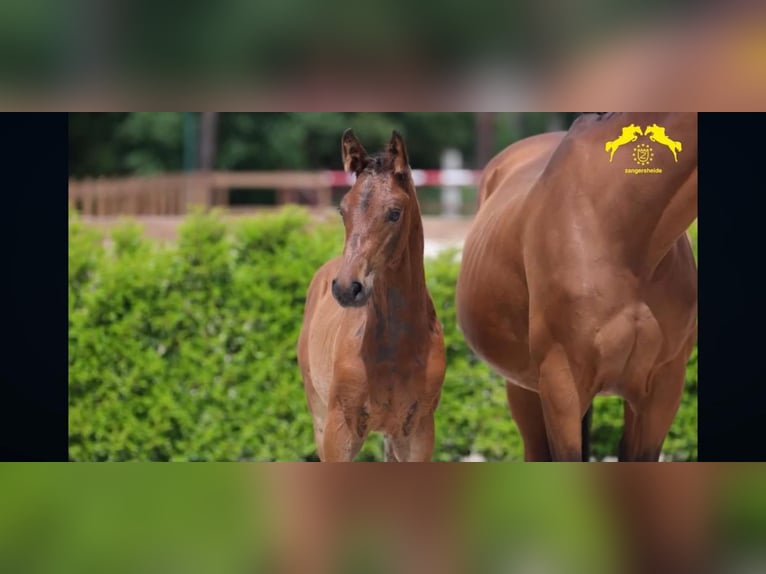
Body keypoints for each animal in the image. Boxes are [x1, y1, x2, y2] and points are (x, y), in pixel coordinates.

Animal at [296, 130, 448, 464]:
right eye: (342, 210)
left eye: (394, 213)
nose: (346, 288)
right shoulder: (339, 430)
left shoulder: (418, 430)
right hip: (319, 417)